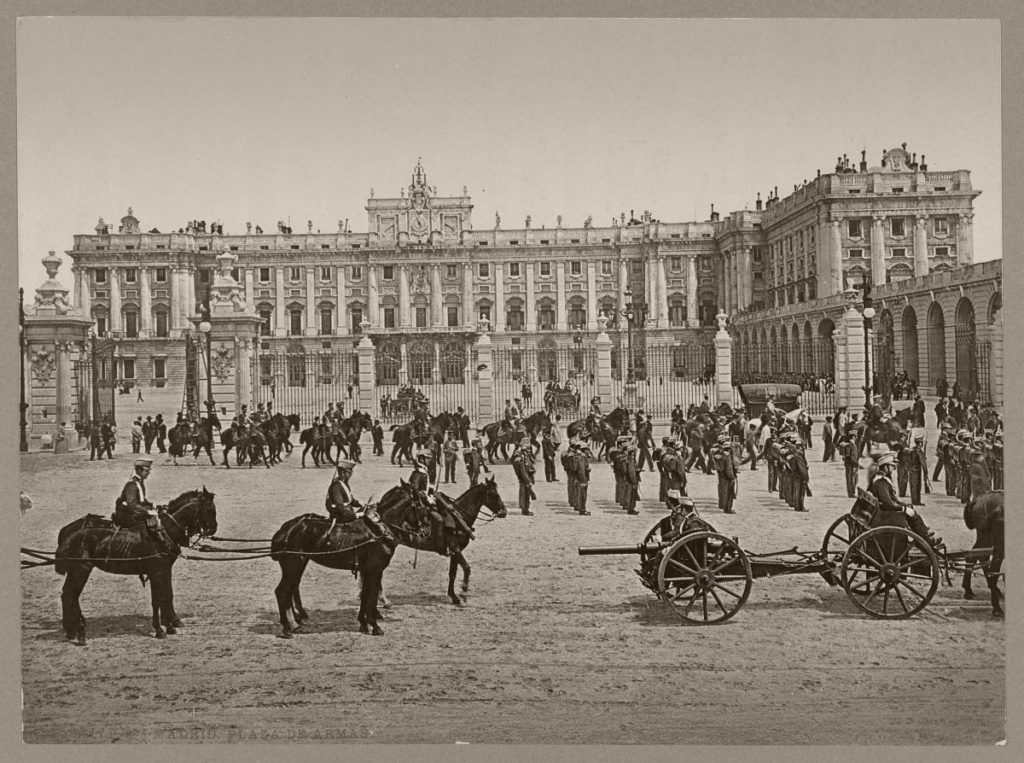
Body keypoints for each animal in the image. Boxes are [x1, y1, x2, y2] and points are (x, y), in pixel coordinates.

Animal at [54, 487, 218, 643]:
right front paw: (160, 629)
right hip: (80, 570)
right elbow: (157, 600)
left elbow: (167, 595)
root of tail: (67, 534)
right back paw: (76, 630)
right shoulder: (156, 571)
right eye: (209, 508)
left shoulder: (164, 569)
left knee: (69, 595)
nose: (213, 528)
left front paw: (171, 624)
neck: (161, 532)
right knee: (69, 595)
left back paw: (73, 629)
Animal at [270, 491, 425, 634]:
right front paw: (374, 626)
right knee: (282, 591)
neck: (378, 531)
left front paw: (363, 624)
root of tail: (287, 529)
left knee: (291, 589)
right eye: (420, 505)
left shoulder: (367, 570)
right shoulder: (375, 570)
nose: (423, 532)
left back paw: (294, 623)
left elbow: (365, 595)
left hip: (298, 564)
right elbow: (372, 596)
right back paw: (287, 627)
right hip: (294, 564)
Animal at [374, 479, 505, 602]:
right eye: (493, 494)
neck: (458, 517)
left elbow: (453, 573)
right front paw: (463, 590)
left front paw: (454, 596)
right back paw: (382, 598)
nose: (504, 511)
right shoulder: (455, 548)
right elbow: (467, 568)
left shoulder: (455, 551)